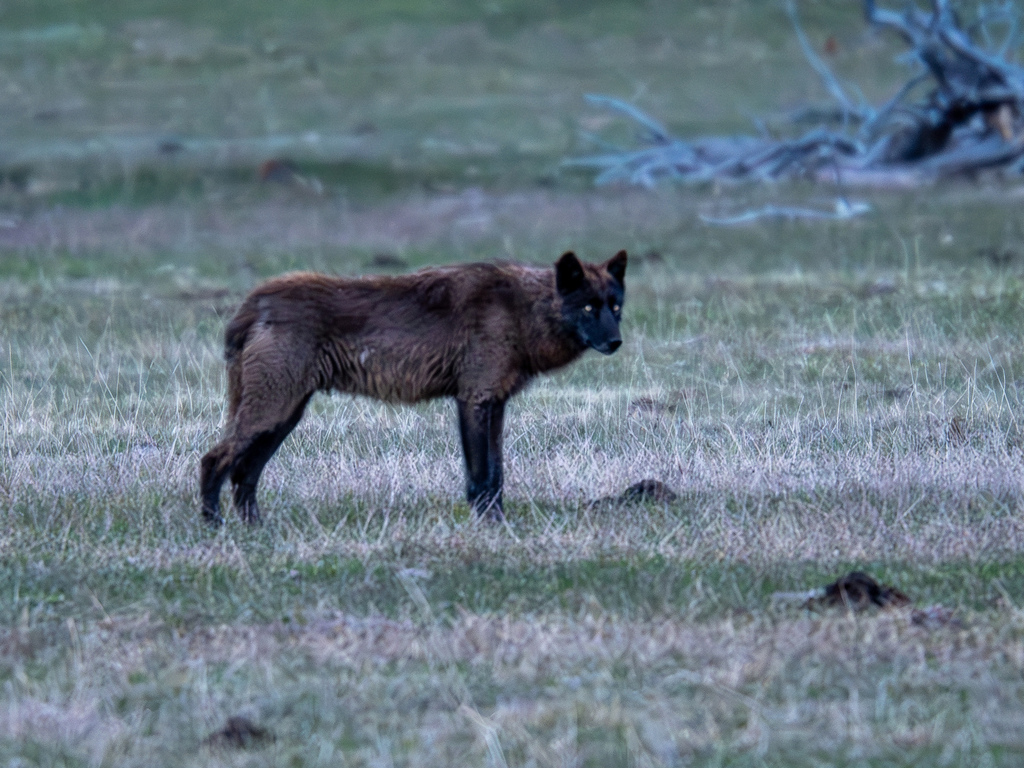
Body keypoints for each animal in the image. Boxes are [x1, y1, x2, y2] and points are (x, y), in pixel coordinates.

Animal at [199, 249, 627, 524]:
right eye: (588, 307)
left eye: (615, 307)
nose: (616, 342)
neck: (521, 311)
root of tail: (253, 303)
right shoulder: (474, 401)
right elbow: (481, 478)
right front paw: (489, 529)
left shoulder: (496, 405)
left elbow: (497, 477)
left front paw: (501, 527)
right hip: (271, 414)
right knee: (213, 460)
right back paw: (213, 527)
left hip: (282, 418)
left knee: (244, 475)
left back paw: (256, 531)